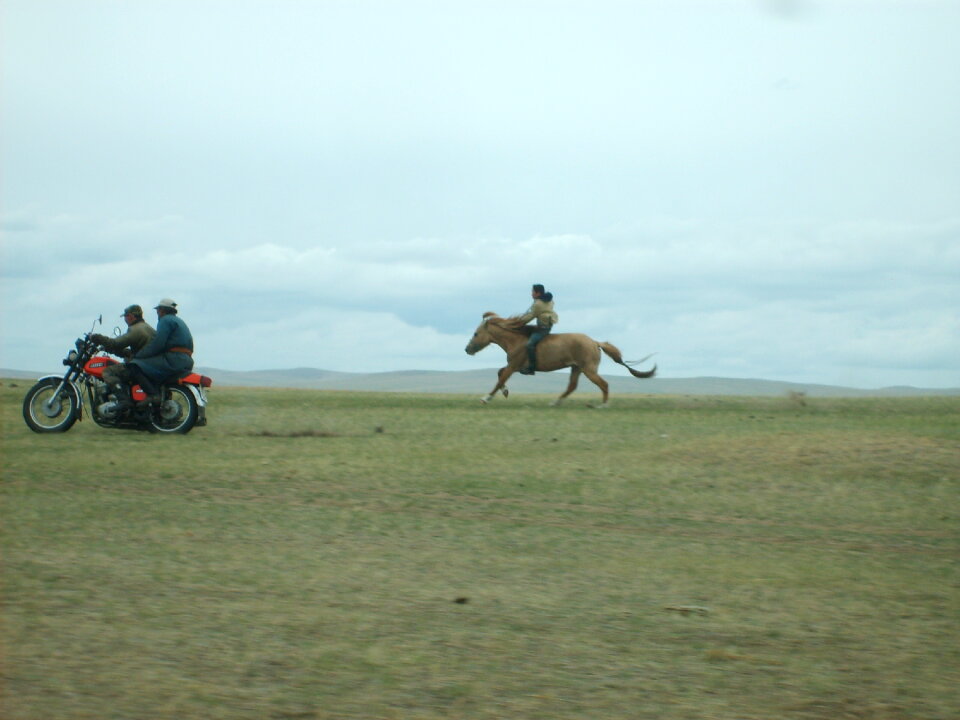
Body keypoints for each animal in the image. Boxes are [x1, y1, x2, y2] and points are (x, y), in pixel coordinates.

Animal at [462, 312, 656, 408]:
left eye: (476, 333)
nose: (467, 349)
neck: (515, 340)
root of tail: (595, 342)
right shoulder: (514, 366)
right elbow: (499, 373)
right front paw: (505, 392)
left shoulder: (514, 365)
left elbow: (500, 378)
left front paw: (486, 398)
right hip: (576, 368)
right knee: (572, 386)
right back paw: (556, 402)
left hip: (588, 370)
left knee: (604, 384)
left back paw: (603, 405)